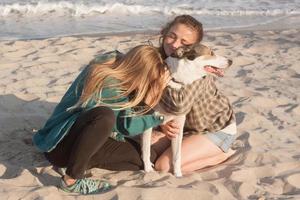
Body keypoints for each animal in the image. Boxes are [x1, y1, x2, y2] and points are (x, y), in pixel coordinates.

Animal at [142, 43, 233, 177]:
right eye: (211, 53)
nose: (231, 61)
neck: (174, 79)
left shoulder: (178, 124)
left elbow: (176, 155)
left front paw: (178, 175)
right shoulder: (146, 124)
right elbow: (146, 150)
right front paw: (148, 170)